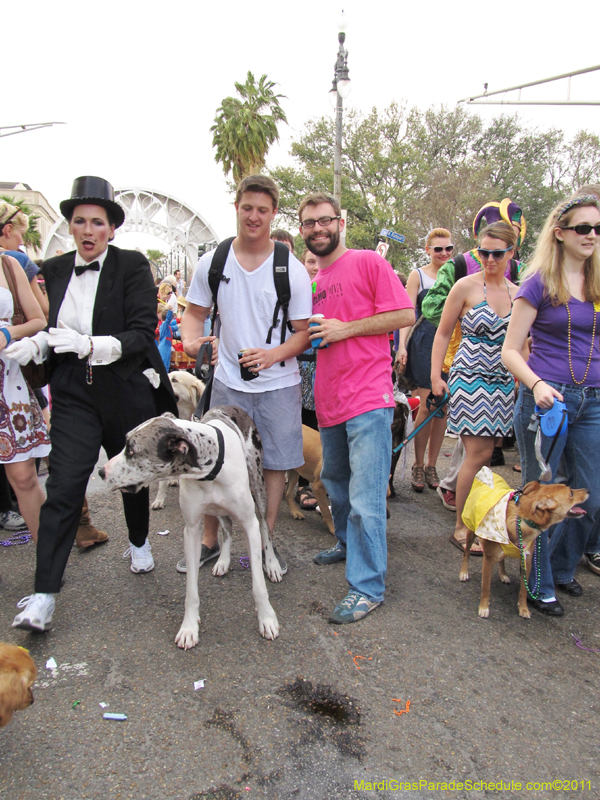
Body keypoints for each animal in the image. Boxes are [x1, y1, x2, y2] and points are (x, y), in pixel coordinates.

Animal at [100, 406, 282, 648]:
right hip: (216, 510)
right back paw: (223, 561)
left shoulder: (249, 524)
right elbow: (191, 590)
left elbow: (258, 585)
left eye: (131, 450)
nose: (101, 472)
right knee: (226, 528)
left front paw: (267, 619)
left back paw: (271, 563)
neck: (209, 469)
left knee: (265, 528)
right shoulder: (192, 530)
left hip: (259, 488)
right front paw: (189, 628)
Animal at [458, 468, 588, 620]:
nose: (587, 490)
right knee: (466, 553)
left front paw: (523, 608)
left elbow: (524, 590)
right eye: (571, 493)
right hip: (471, 531)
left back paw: (503, 575)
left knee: (502, 558)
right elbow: (486, 587)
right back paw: (464, 572)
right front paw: (484, 607)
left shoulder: (527, 560)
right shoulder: (488, 559)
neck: (522, 520)